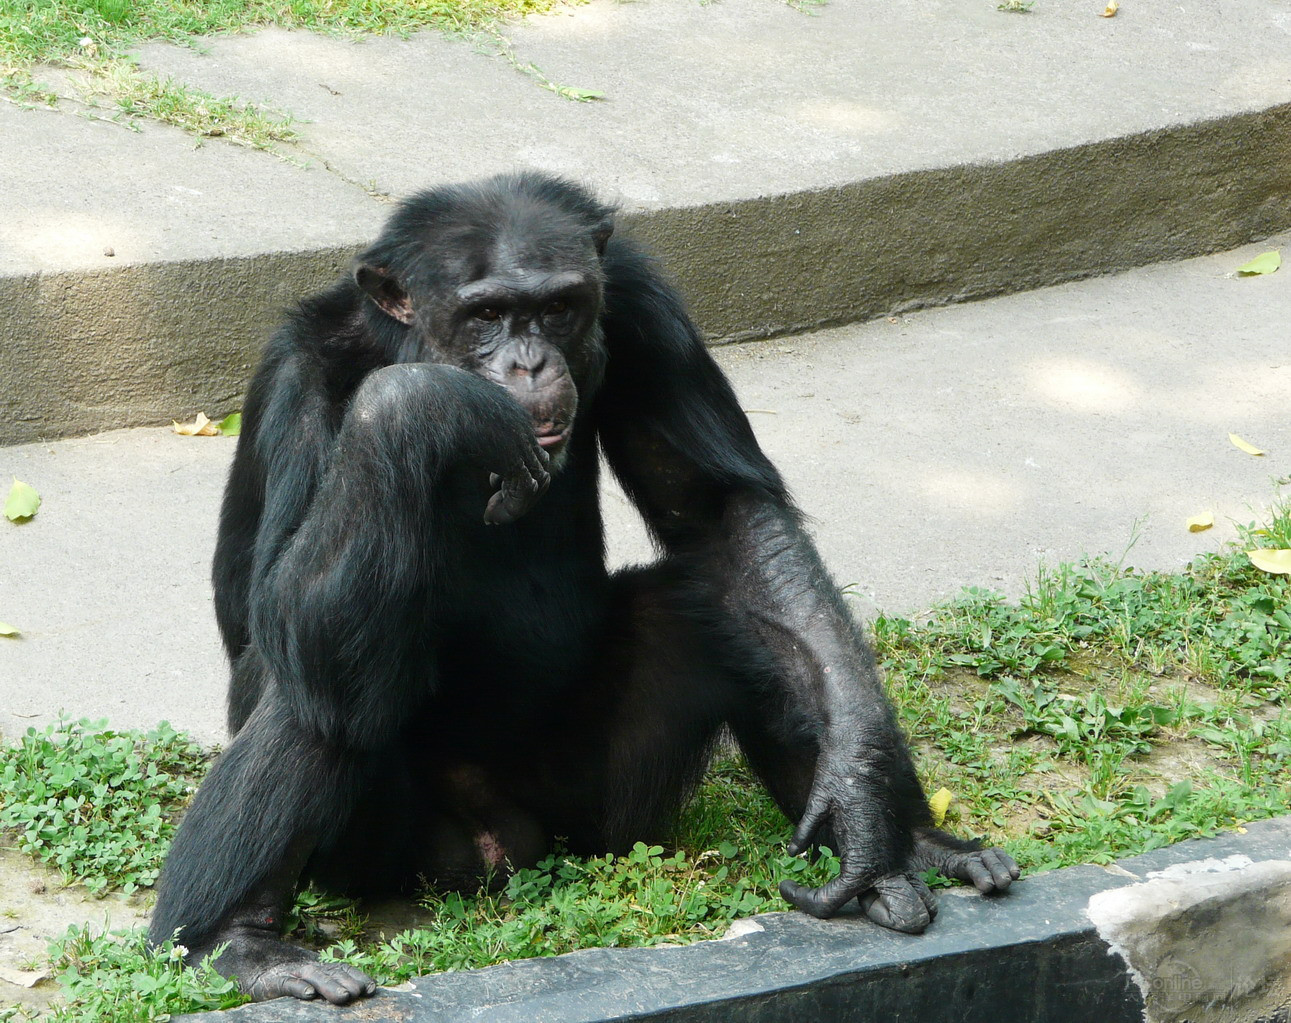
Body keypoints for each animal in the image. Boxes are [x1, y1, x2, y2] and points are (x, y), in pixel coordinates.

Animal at [148, 171, 1017, 1002]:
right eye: (486, 313)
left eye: (558, 307)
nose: (528, 362)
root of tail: (509, 848)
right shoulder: (301, 378)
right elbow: (274, 610)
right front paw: (424, 403)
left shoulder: (643, 308)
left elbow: (720, 513)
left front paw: (861, 791)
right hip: (401, 851)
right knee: (311, 688)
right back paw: (238, 940)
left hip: (602, 811)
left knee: (719, 605)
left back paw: (907, 851)